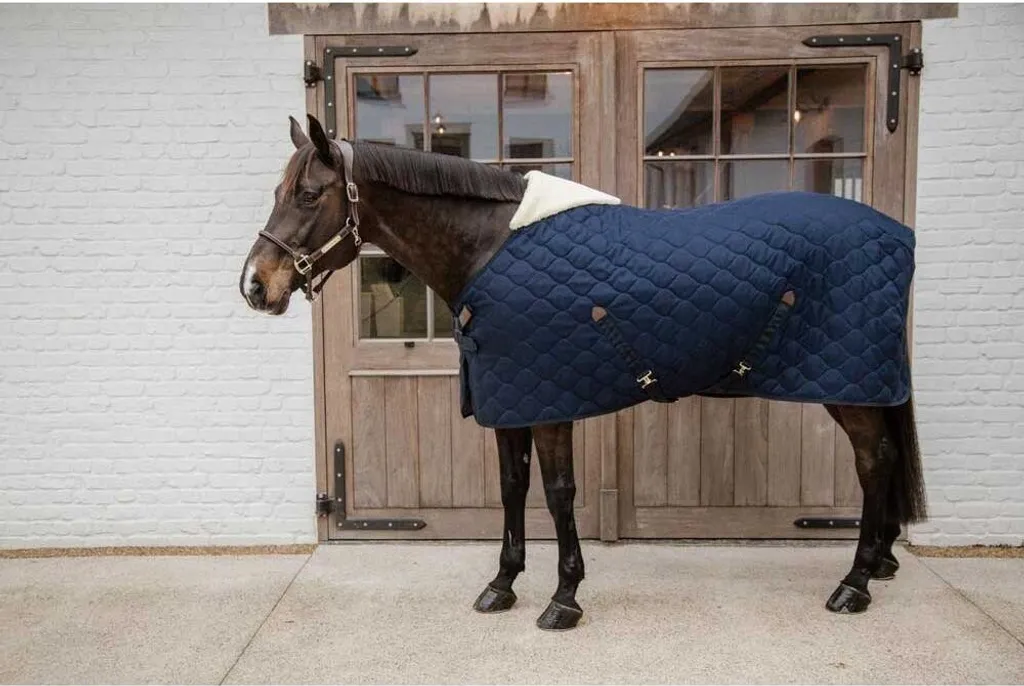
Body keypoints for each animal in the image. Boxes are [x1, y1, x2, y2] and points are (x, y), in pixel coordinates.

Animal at [240, 115, 926, 631]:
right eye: (277, 193)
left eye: (309, 195)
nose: (254, 285)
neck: (490, 246)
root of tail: (898, 234)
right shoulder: (509, 399)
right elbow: (512, 487)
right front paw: (502, 585)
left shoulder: (548, 402)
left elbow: (558, 493)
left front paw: (563, 598)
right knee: (885, 462)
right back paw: (879, 565)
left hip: (851, 390)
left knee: (875, 463)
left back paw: (854, 583)